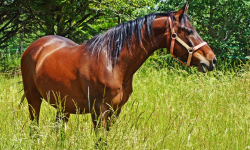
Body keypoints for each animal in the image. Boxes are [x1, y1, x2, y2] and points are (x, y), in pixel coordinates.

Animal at [21, 2, 217, 130]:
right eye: (189, 31)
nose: (212, 59)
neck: (112, 62)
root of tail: (34, 47)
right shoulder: (99, 111)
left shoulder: (115, 111)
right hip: (33, 100)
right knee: (34, 129)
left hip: (63, 106)